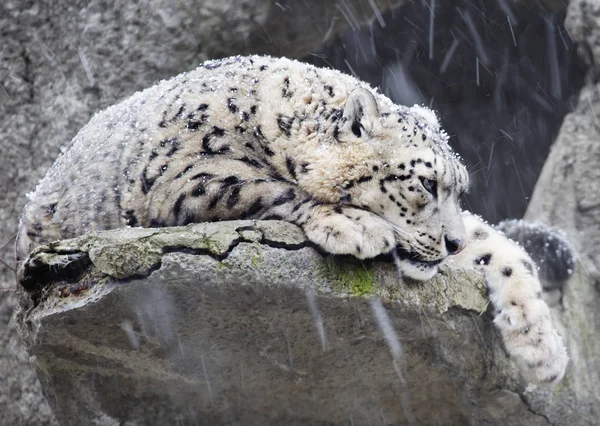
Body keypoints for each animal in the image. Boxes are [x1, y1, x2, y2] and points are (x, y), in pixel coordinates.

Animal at [14, 55, 568, 384]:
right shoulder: (182, 175)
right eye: (425, 184)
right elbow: (269, 184)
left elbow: (498, 243)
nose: (452, 245)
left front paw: (543, 346)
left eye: (457, 188)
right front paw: (354, 225)